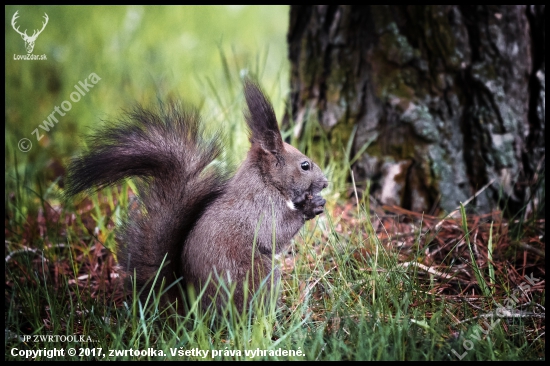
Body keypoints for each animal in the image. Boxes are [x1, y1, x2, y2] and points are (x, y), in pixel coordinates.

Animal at [67, 78, 330, 314]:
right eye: (305, 165)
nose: (326, 182)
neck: (265, 181)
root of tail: (195, 312)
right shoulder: (262, 207)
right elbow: (277, 231)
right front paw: (311, 207)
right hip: (259, 275)